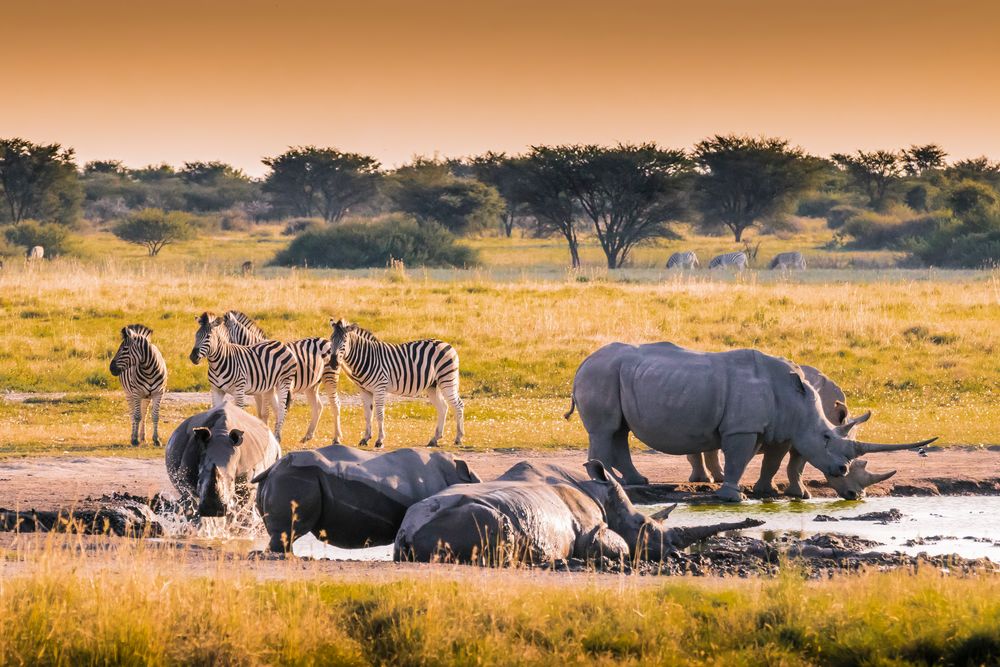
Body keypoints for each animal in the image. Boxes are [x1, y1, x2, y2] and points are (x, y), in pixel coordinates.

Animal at [188, 314, 296, 444]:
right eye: (196, 335)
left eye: (208, 337)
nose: (193, 357)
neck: (218, 363)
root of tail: (280, 343)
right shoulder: (216, 390)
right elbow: (216, 412)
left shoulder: (239, 389)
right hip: (270, 387)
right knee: (275, 409)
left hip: (284, 382)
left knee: (281, 409)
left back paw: (277, 437)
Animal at [222, 312, 340, 444]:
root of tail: (326, 340)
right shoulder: (258, 392)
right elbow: (267, 412)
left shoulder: (269, 388)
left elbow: (268, 412)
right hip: (312, 385)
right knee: (318, 406)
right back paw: (308, 435)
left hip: (330, 375)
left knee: (335, 404)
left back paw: (336, 438)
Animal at [332, 318, 464, 448]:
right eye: (331, 339)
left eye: (344, 341)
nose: (333, 362)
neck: (366, 357)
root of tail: (447, 344)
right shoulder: (365, 391)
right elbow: (367, 415)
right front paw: (365, 438)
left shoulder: (379, 387)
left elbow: (379, 414)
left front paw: (380, 440)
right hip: (433, 385)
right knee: (443, 408)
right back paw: (434, 439)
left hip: (447, 379)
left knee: (459, 405)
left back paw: (458, 438)